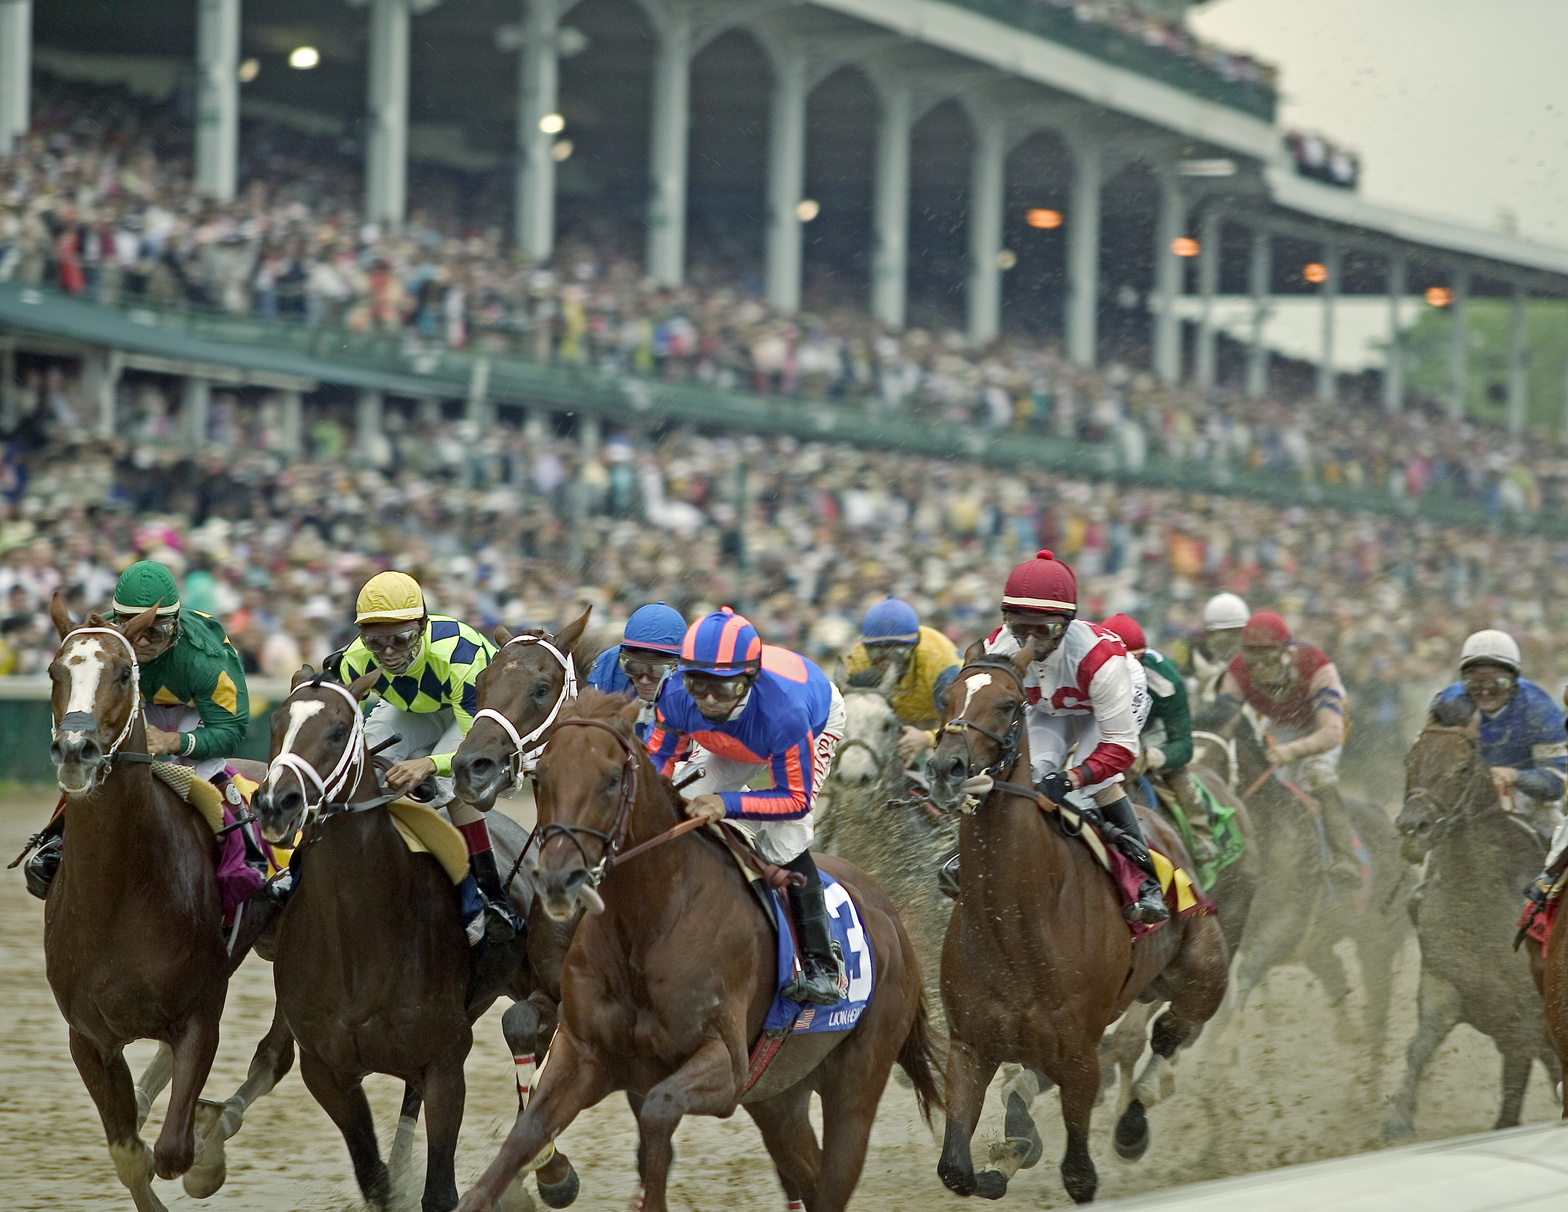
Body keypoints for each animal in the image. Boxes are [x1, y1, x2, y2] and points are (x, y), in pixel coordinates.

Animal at [45, 595, 294, 1210]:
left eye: (123, 673)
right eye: (55, 671)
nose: (76, 750)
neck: (116, 896)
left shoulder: (201, 1015)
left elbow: (174, 1151)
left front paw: (206, 1154)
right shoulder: (88, 1036)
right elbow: (131, 1155)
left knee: (276, 1053)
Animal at [254, 671, 573, 1210]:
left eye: (338, 731)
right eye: (276, 724)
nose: (277, 803)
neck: (357, 942)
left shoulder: (445, 1061)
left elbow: (441, 1192)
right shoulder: (326, 1071)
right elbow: (375, 1181)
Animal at [448, 689, 934, 1210]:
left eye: (611, 778)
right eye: (542, 779)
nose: (559, 880)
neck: (649, 924)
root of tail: (888, 912)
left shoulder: (725, 1066)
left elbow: (659, 1110)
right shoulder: (584, 1053)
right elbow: (527, 1131)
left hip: (856, 1083)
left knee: (833, 1176)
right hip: (778, 1095)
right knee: (806, 1169)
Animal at [921, 642, 1229, 1197]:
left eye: (1008, 704)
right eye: (947, 697)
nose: (945, 768)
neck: (1014, 919)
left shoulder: (1079, 1051)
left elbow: (1079, 1173)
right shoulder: (970, 1045)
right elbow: (956, 1168)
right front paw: (1004, 1158)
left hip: (1204, 976)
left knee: (1170, 1030)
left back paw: (1134, 1122)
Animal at [1392, 699, 1561, 1135]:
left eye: (1463, 767)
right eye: (1409, 760)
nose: (1412, 829)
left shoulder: (1532, 1019)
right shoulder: (1444, 985)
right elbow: (1418, 1046)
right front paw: (1398, 1118)